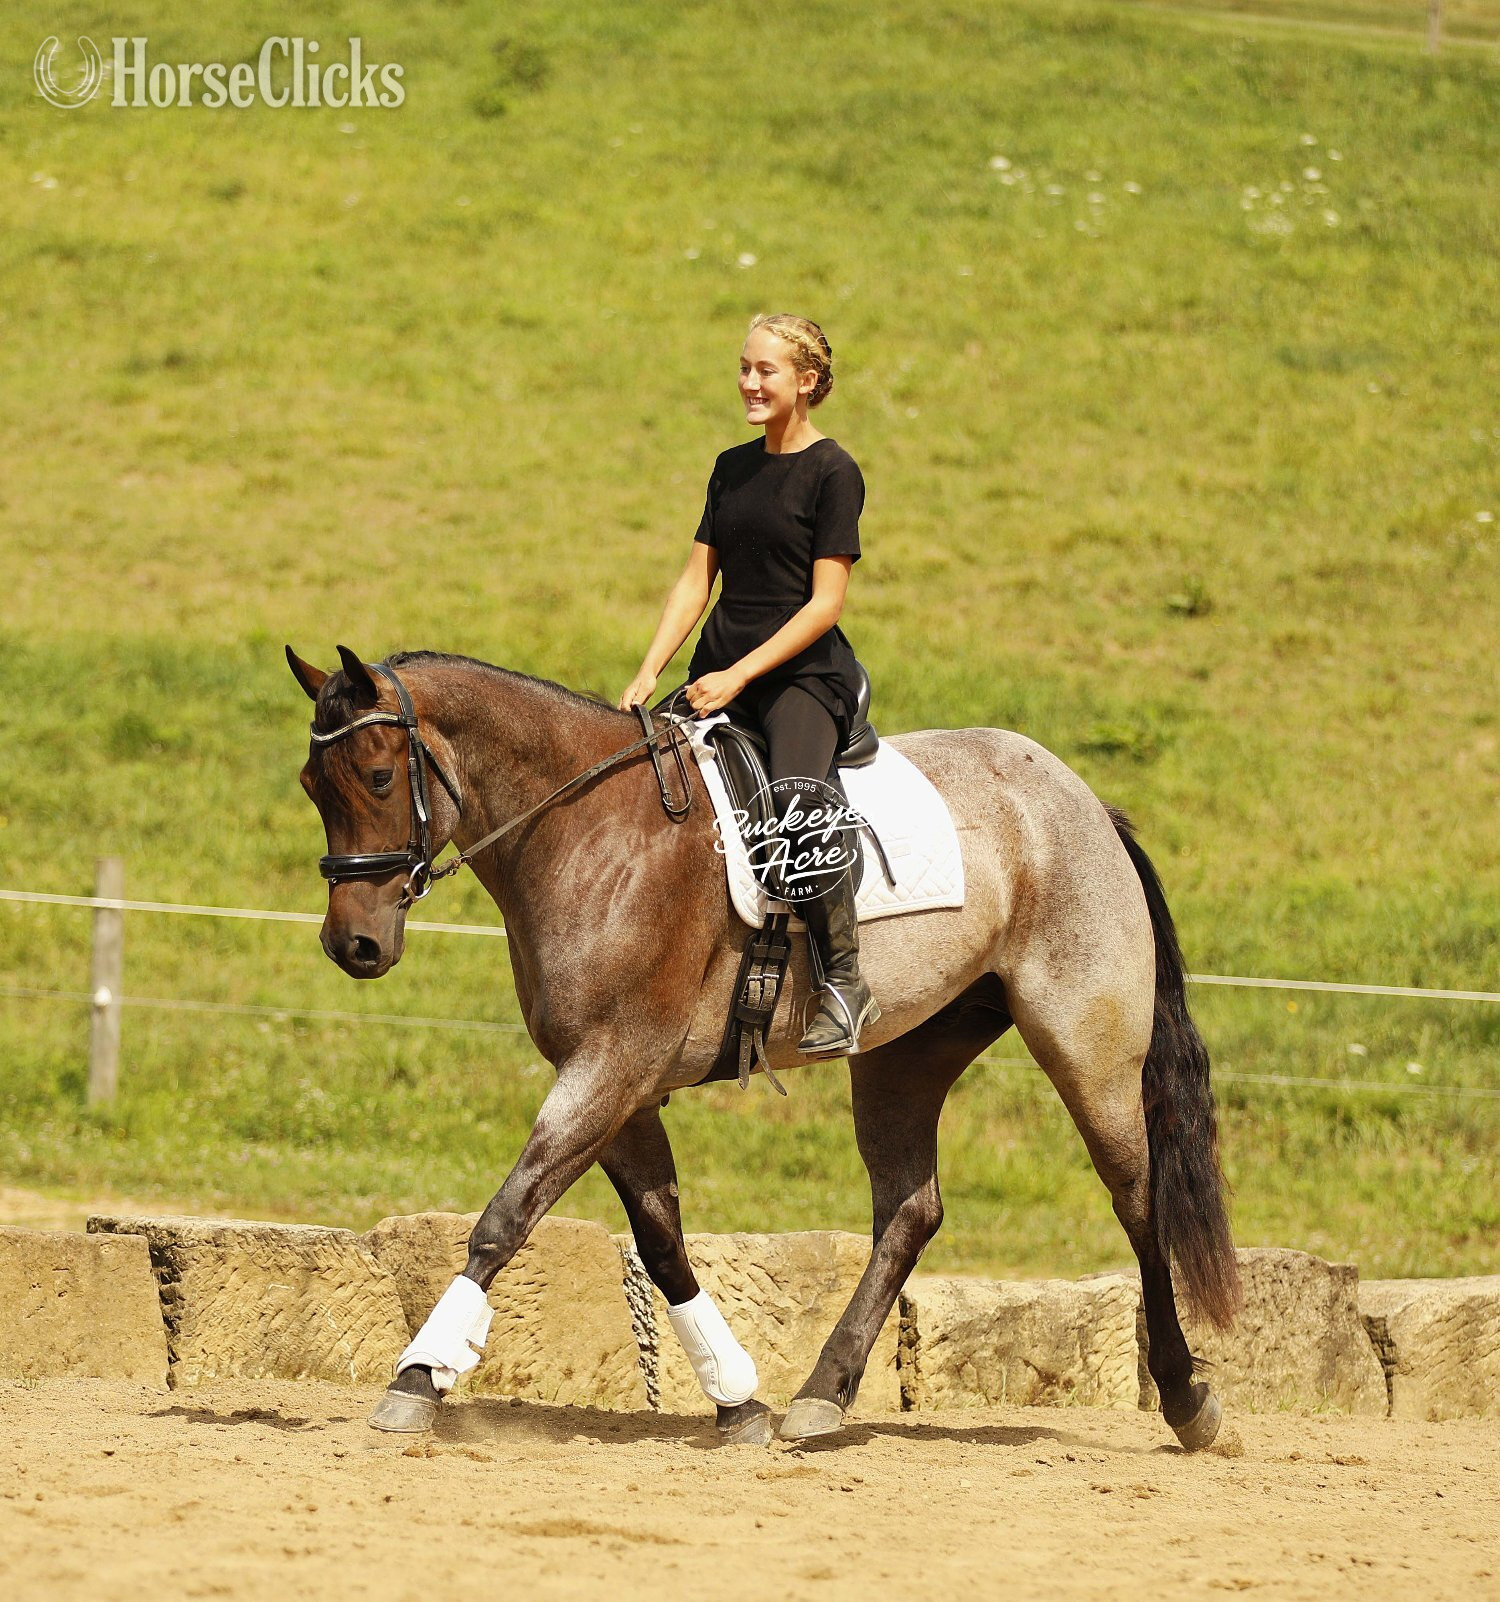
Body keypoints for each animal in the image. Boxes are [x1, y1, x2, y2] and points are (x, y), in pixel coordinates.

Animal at [287, 644, 1240, 1449]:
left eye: (378, 775)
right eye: (311, 785)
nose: (352, 946)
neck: (587, 827)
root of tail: (1082, 803)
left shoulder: (610, 1065)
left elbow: (505, 1218)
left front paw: (418, 1378)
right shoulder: (619, 1084)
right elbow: (662, 1239)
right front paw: (737, 1399)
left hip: (1086, 1046)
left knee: (1136, 1198)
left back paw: (1188, 1400)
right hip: (906, 1053)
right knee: (911, 1210)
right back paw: (822, 1394)